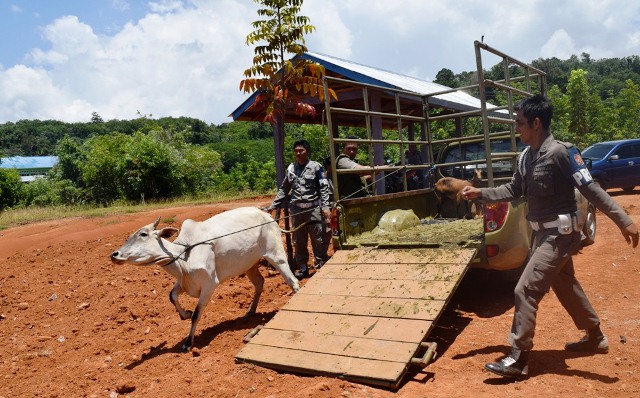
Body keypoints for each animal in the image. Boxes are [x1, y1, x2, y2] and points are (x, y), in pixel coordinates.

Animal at [110, 207, 300, 352]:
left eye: (143, 234)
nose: (114, 254)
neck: (183, 255)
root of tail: (267, 215)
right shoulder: (184, 282)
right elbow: (172, 296)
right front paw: (184, 314)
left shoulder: (209, 285)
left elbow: (196, 315)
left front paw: (188, 343)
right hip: (249, 265)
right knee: (259, 283)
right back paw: (250, 311)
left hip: (275, 254)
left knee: (292, 281)